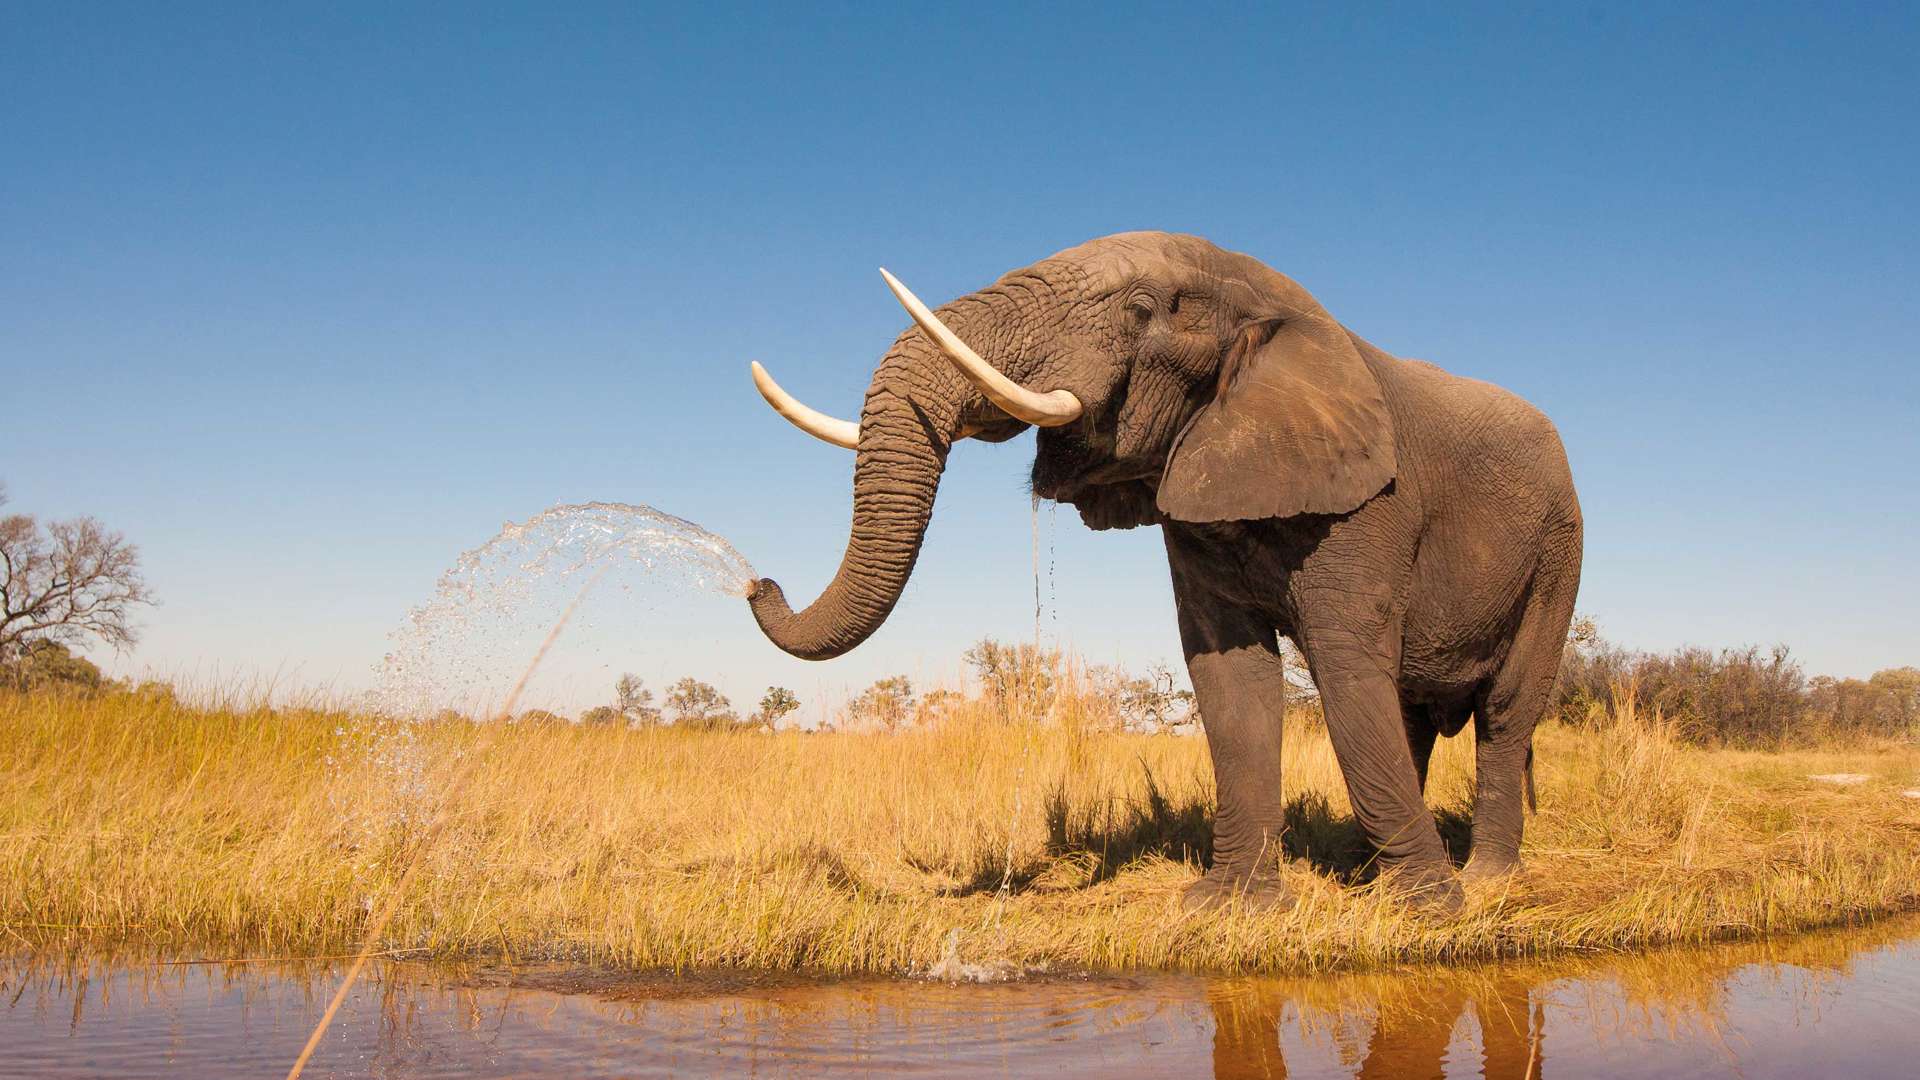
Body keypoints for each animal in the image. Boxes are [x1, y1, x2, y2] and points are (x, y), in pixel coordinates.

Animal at [741, 228, 1582, 907]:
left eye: (1142, 308)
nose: (757, 581)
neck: (1268, 297)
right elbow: (1230, 676)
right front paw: (1228, 907)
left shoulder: (1373, 502)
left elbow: (1346, 667)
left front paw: (1428, 912)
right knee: (1410, 711)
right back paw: (1380, 872)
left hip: (1559, 550)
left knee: (1504, 711)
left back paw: (1482, 882)